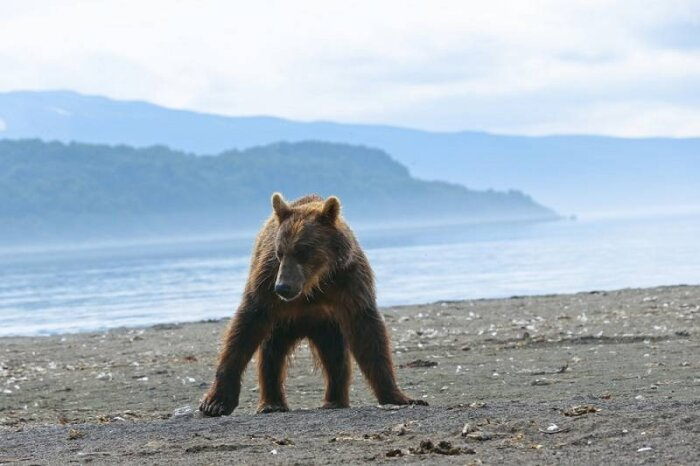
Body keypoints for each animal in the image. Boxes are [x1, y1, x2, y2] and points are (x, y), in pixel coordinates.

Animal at [198, 193, 426, 416]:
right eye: (280, 251)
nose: (283, 287)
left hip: (327, 326)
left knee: (335, 356)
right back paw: (272, 403)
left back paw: (334, 400)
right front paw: (215, 402)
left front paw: (399, 396)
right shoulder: (266, 281)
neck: (313, 284)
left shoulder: (349, 281)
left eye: (302, 250)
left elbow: (367, 332)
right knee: (272, 354)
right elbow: (244, 328)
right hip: (283, 324)